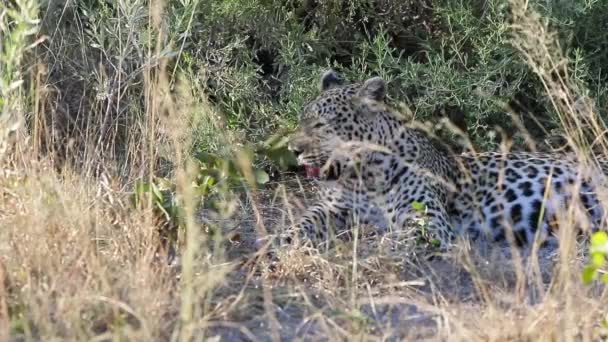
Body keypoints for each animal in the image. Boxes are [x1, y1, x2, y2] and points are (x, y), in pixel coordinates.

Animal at [286, 69, 608, 248]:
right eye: (302, 120)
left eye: (320, 126)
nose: (292, 149)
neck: (363, 177)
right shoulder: (331, 208)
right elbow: (303, 221)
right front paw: (283, 241)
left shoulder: (428, 221)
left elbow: (397, 241)